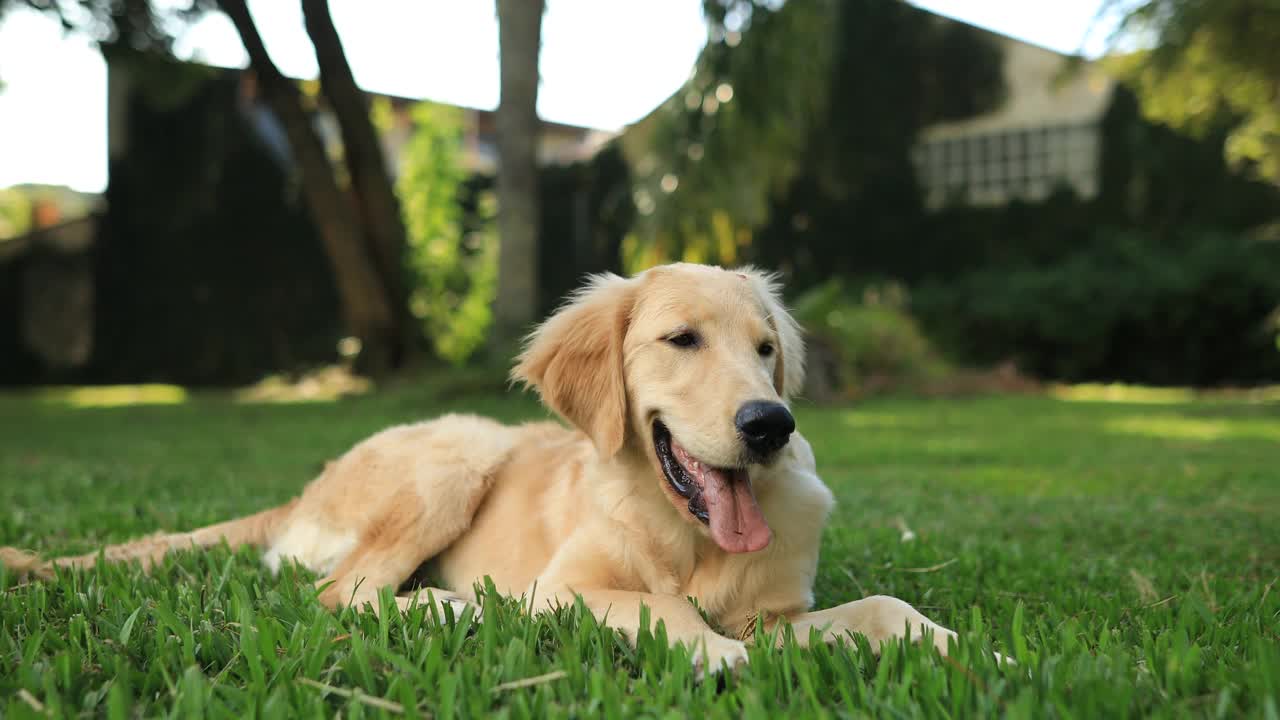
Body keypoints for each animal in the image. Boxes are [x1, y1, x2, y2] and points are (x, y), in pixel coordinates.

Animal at [0, 262, 983, 671]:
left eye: (767, 350)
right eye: (681, 341)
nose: (772, 424)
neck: (687, 532)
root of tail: (309, 485)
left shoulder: (778, 616)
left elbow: (885, 607)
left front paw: (973, 651)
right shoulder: (570, 588)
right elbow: (664, 608)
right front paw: (722, 663)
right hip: (459, 454)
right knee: (341, 592)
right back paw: (450, 605)